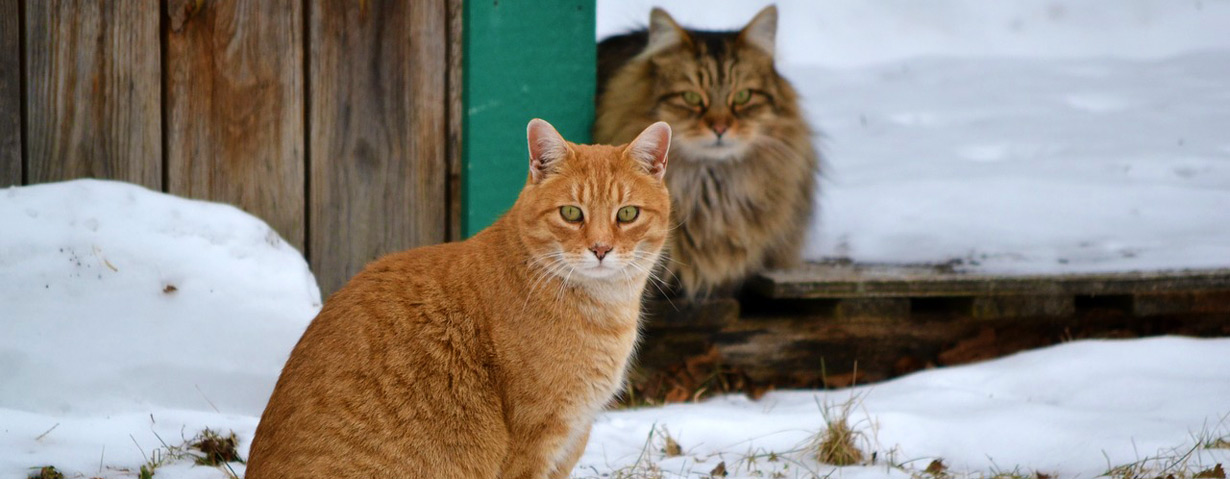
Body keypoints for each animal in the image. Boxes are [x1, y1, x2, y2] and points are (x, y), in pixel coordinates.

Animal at [244, 118, 674, 477]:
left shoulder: (571, 440)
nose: (600, 249)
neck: (603, 309)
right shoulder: (534, 444)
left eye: (627, 214)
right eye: (571, 213)